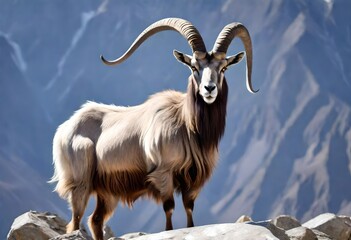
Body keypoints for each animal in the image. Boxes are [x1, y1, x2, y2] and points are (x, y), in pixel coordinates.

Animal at [50, 18, 258, 240]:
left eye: (223, 68)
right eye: (194, 67)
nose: (209, 89)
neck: (185, 124)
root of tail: (66, 127)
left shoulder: (192, 180)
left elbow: (189, 208)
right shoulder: (163, 174)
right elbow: (169, 208)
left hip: (107, 191)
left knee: (95, 219)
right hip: (80, 183)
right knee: (76, 220)